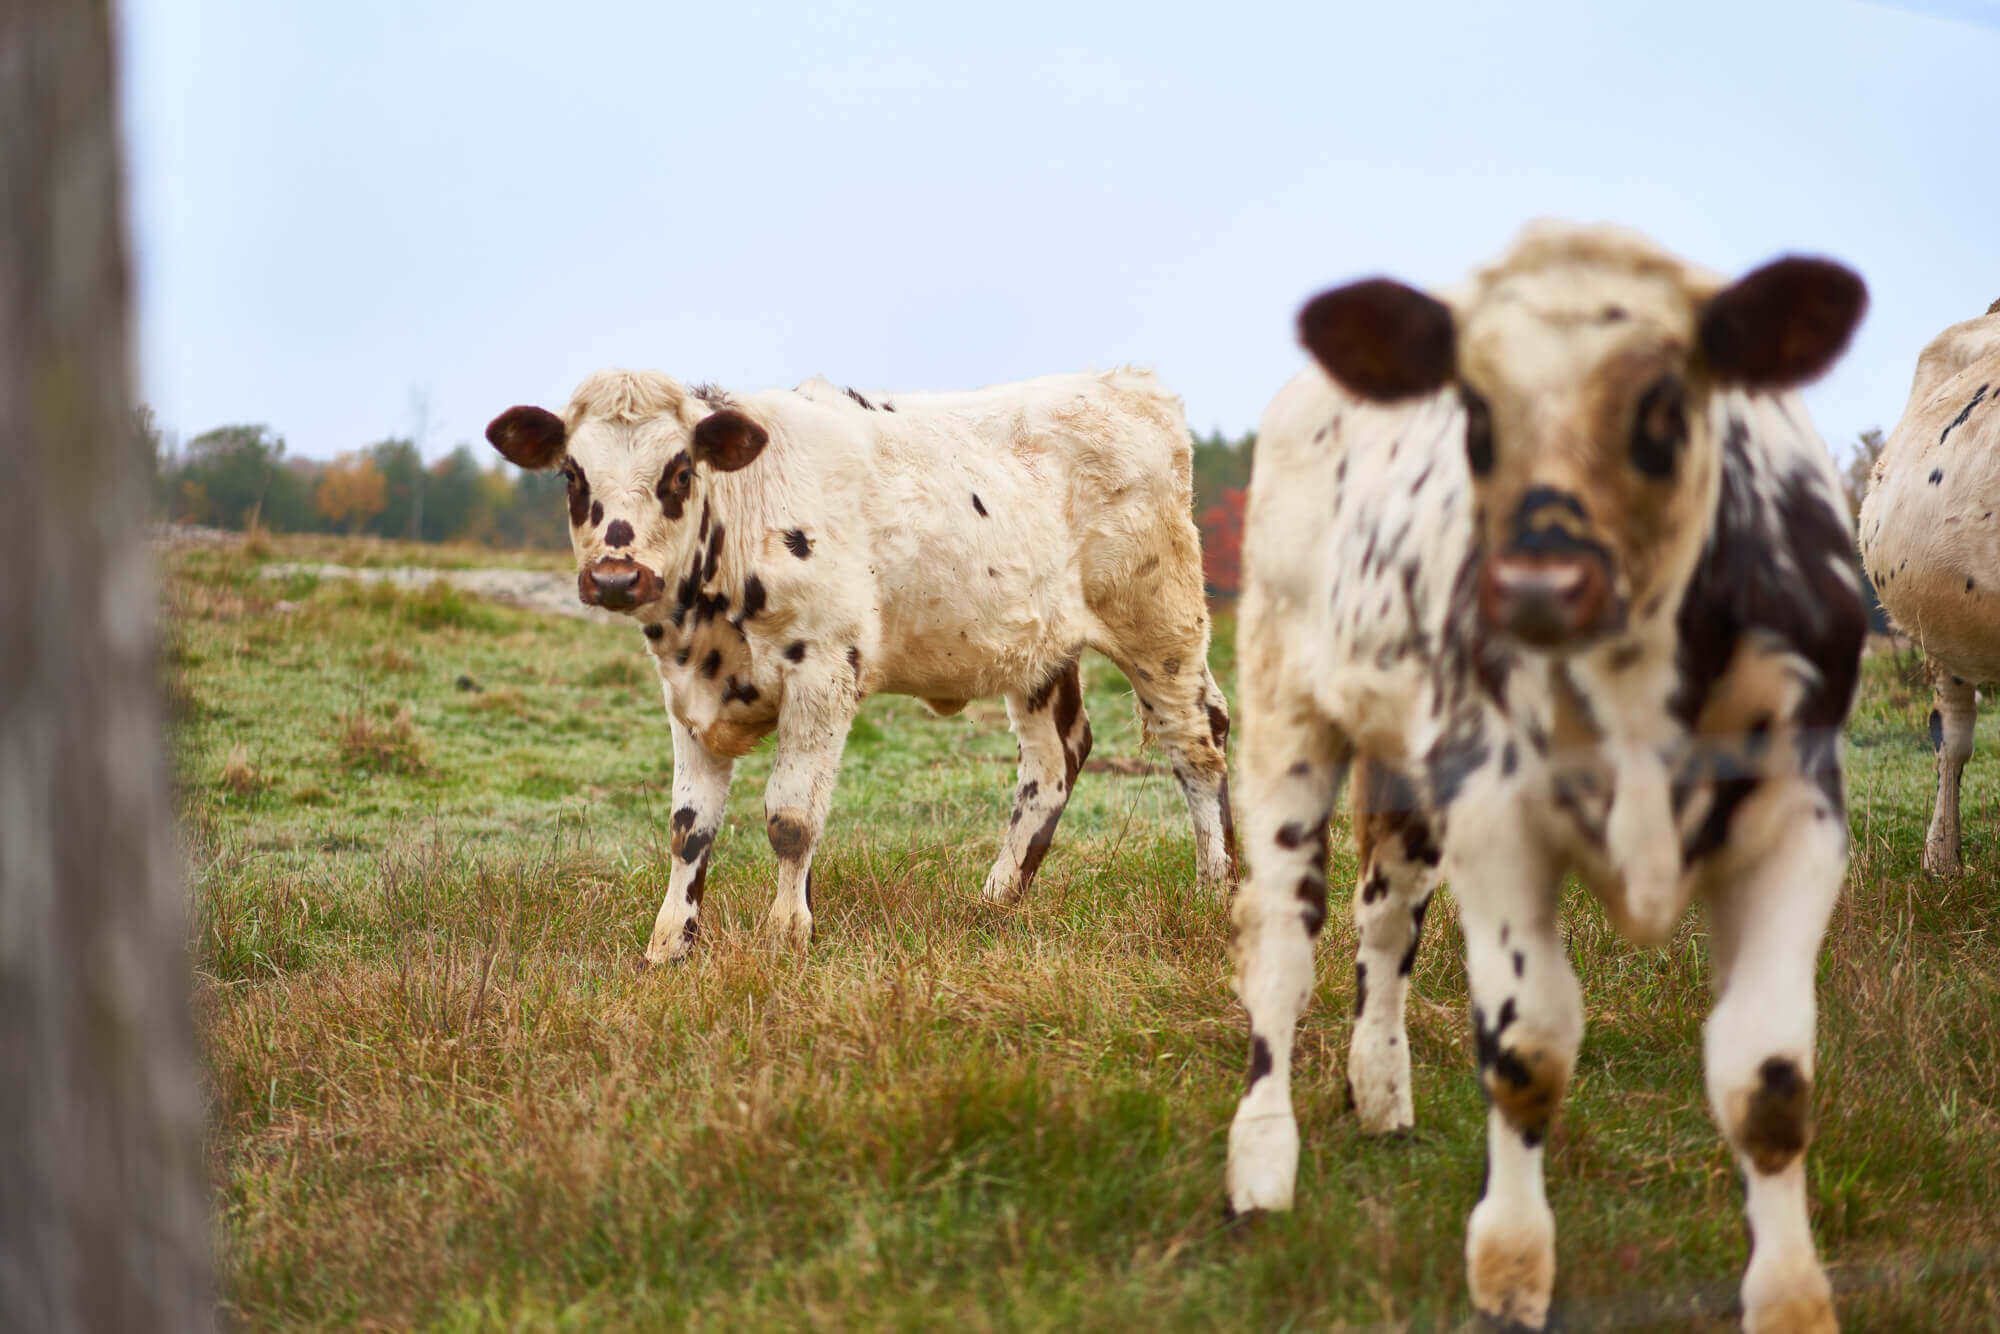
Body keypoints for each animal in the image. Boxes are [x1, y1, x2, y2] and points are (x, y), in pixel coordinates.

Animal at [484, 370, 1232, 964]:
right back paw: (996, 899)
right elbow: (689, 825)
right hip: (1041, 648)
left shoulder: (822, 675)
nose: (616, 575)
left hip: (1161, 624)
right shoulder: (686, 691)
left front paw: (788, 935)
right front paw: (671, 944)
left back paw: (1216, 888)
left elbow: (791, 819)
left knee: (1198, 739)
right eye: (572, 474)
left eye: (679, 471)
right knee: (1055, 760)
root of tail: (1125, 383)